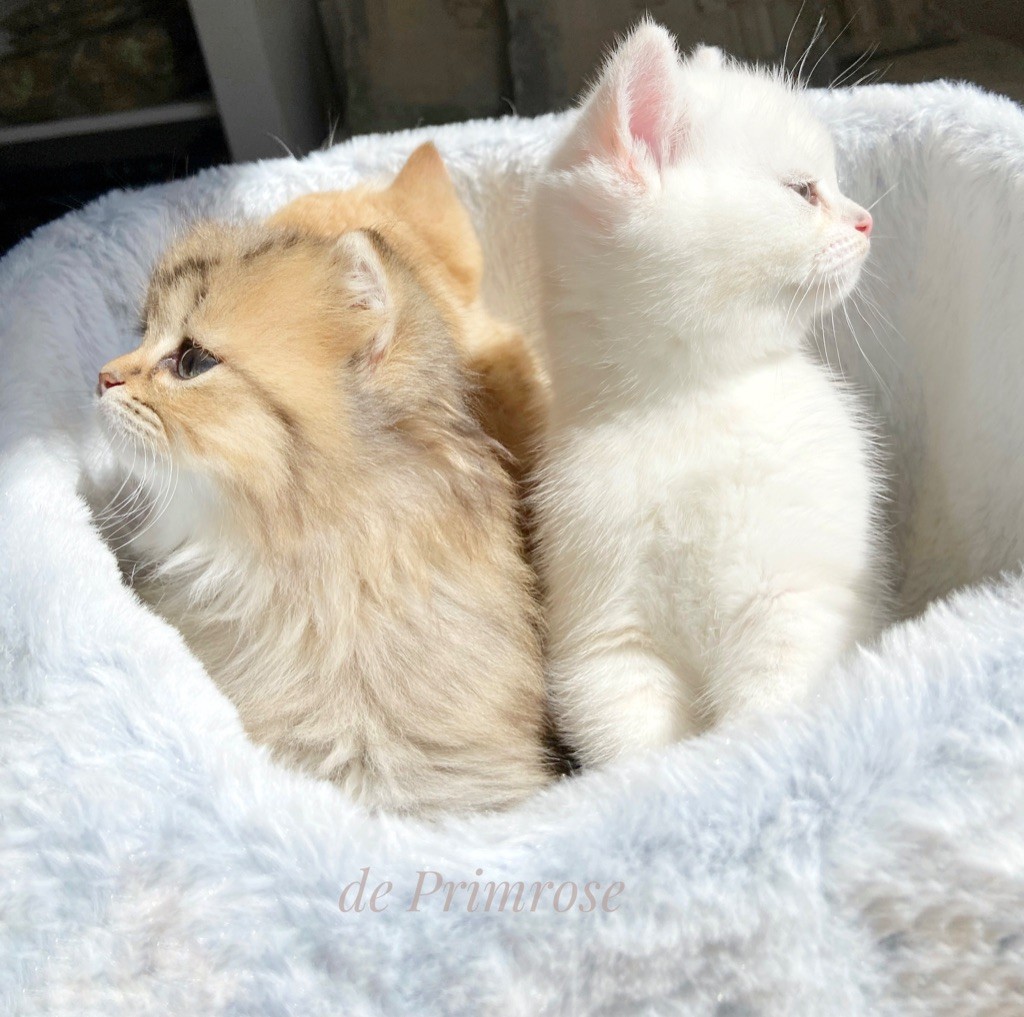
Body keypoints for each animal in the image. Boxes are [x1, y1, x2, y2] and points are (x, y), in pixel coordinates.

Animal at [536, 21, 888, 761]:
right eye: (803, 190)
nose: (866, 220)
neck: (691, 403)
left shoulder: (798, 593)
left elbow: (771, 704)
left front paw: (742, 761)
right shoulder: (605, 639)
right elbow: (630, 734)